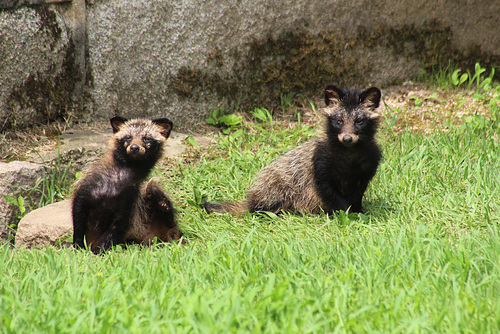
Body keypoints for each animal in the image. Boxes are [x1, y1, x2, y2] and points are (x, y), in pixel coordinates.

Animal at [72, 115, 184, 253]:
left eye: (147, 138)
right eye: (128, 137)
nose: (134, 147)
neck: (118, 177)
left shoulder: (128, 202)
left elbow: (114, 231)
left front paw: (99, 251)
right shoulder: (85, 191)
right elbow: (78, 220)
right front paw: (79, 247)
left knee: (168, 217)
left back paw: (161, 202)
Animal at [203, 83, 382, 214]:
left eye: (359, 121)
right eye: (339, 121)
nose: (347, 138)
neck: (349, 152)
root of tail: (251, 201)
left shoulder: (369, 165)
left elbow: (358, 192)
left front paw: (358, 211)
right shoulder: (319, 162)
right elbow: (328, 190)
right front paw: (347, 213)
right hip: (276, 187)